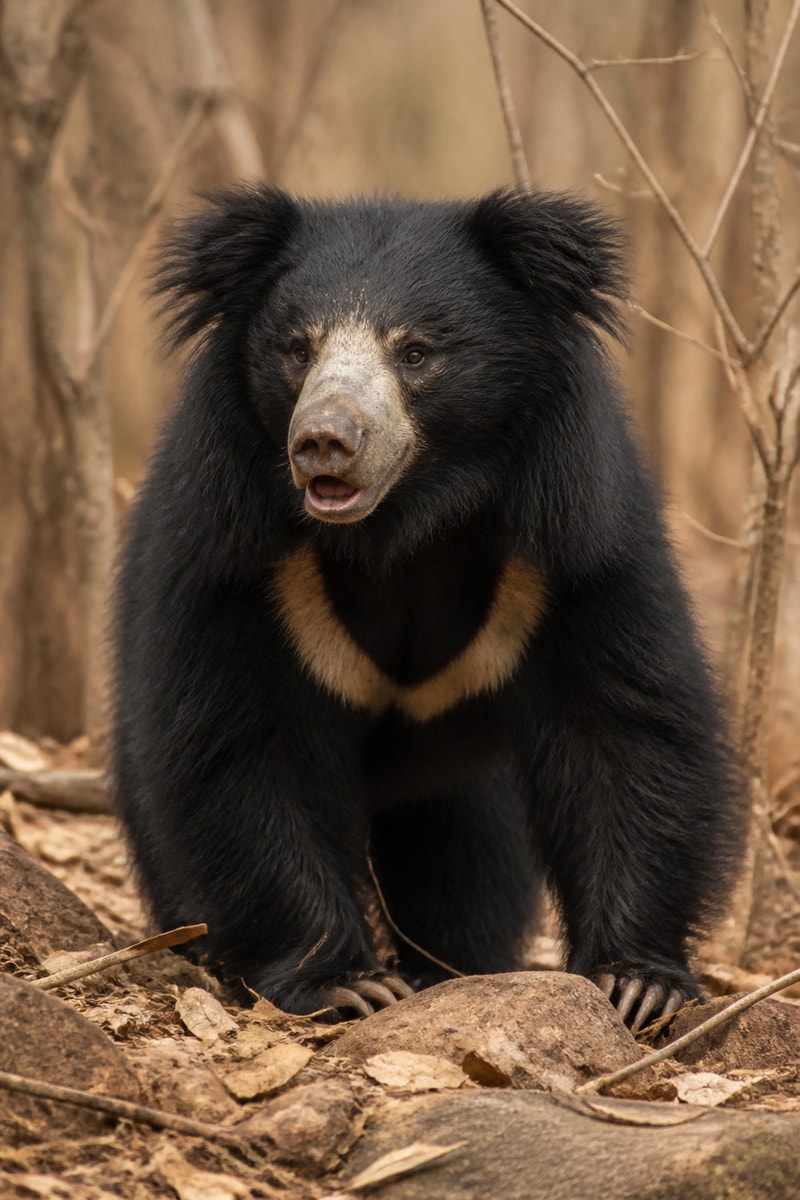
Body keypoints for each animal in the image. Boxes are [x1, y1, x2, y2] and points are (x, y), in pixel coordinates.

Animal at [113, 183, 742, 1033]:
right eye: (298, 349)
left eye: (415, 353)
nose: (324, 440)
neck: (403, 521)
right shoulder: (238, 553)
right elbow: (243, 746)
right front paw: (346, 983)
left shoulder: (575, 538)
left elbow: (624, 726)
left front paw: (636, 984)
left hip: (459, 783)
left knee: (467, 861)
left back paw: (451, 965)